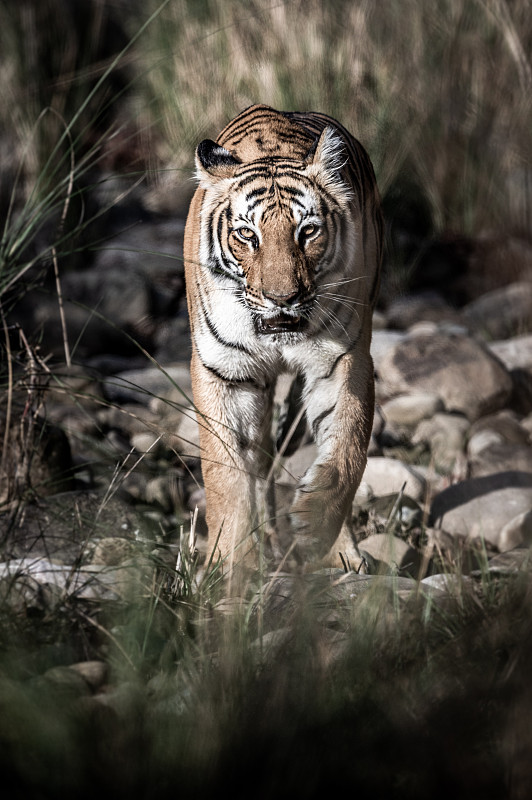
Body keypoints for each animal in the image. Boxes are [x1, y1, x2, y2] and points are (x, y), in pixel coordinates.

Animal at [183, 104, 382, 580]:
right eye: (247, 235)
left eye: (307, 232)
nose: (282, 298)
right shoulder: (223, 373)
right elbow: (225, 473)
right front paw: (230, 560)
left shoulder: (344, 361)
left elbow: (347, 450)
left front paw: (314, 525)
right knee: (259, 460)